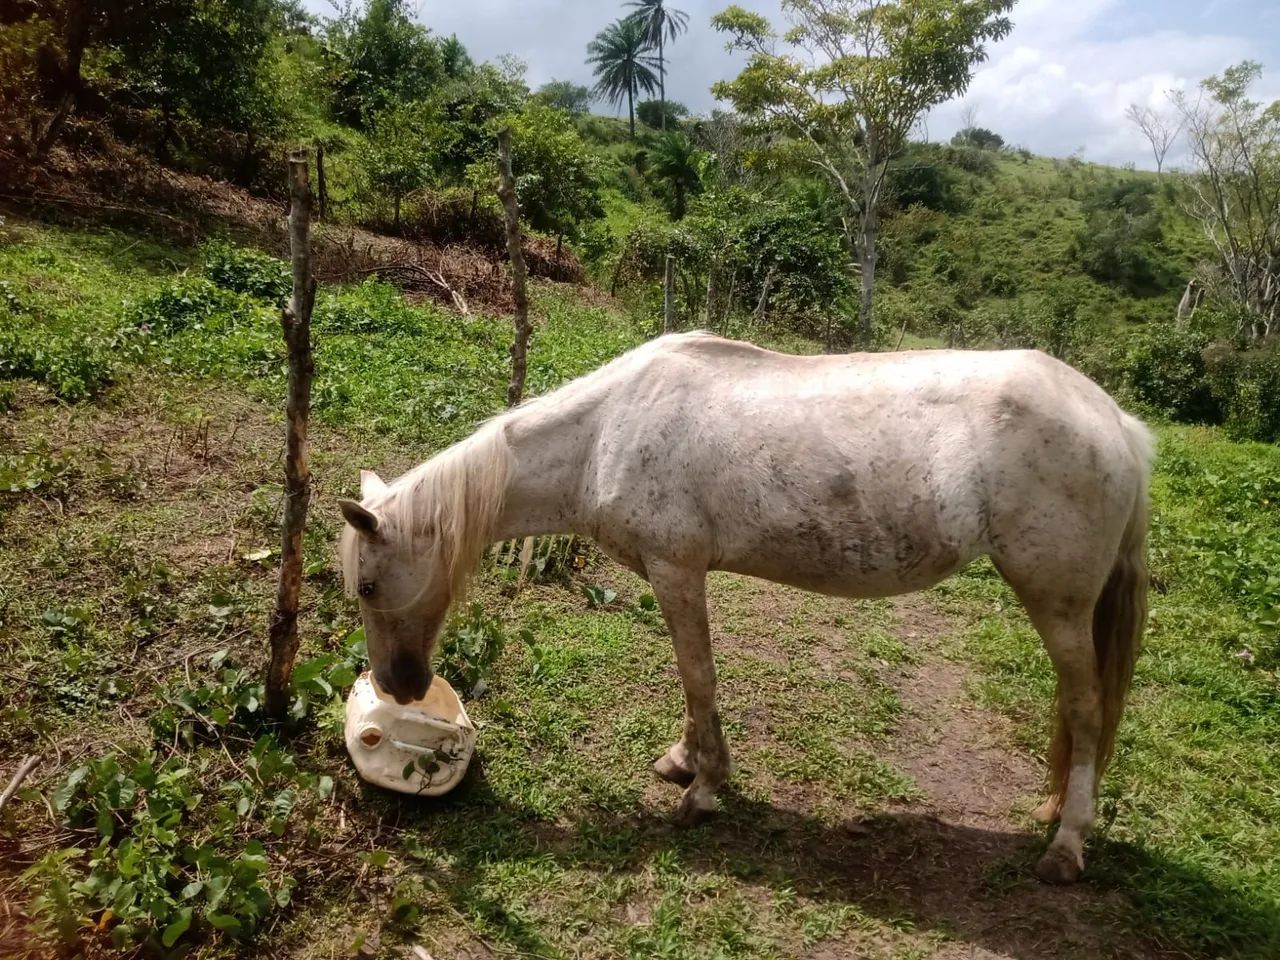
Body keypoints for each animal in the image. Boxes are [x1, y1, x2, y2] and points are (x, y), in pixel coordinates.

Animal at [338, 331, 1152, 885]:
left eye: (368, 588)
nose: (400, 688)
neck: (605, 432)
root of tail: (1118, 423)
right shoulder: (674, 574)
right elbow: (692, 679)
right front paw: (683, 762)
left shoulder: (676, 570)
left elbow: (698, 675)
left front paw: (703, 791)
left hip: (1058, 604)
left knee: (1085, 710)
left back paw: (1067, 844)